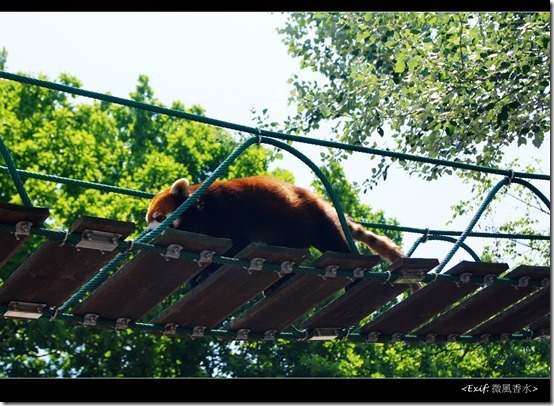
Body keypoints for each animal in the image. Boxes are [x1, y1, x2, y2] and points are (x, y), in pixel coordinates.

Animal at [146, 175, 406, 264]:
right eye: (148, 220)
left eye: (159, 218)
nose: (148, 231)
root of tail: (322, 202)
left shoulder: (225, 212)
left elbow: (237, 242)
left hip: (315, 219)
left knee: (334, 243)